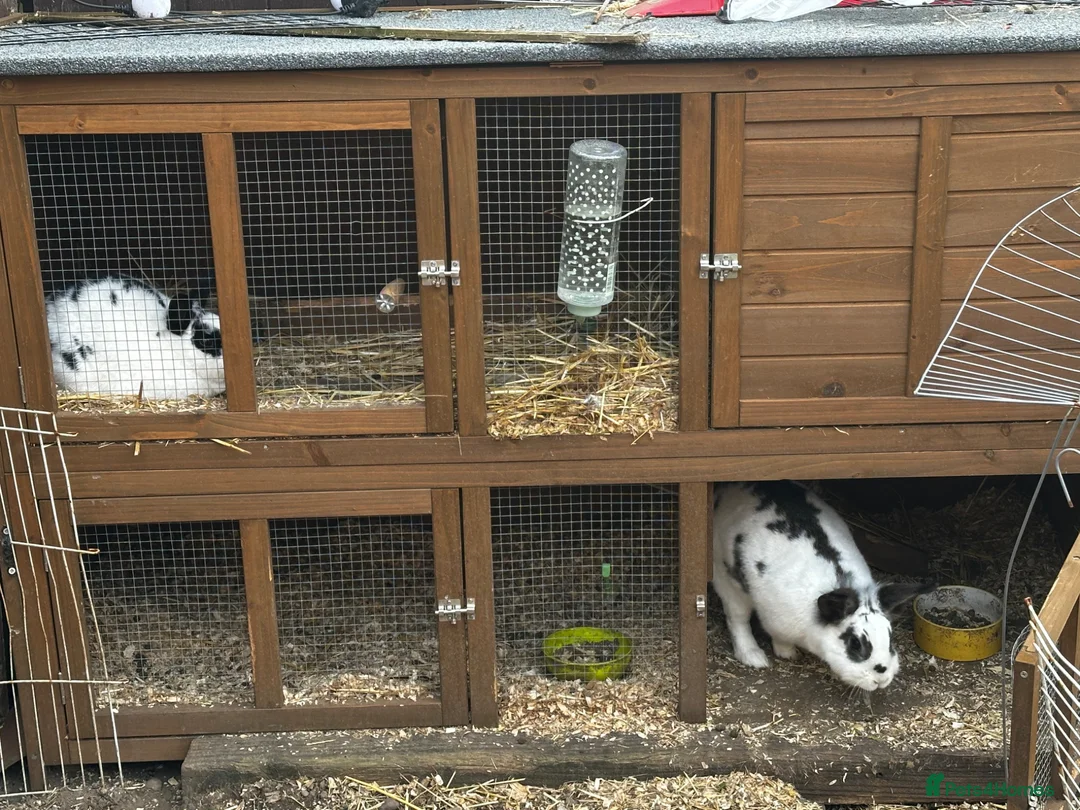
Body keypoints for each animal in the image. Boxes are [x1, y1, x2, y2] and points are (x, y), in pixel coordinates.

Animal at [712, 480, 934, 692]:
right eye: (855, 643)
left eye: (890, 637)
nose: (881, 680)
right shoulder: (775, 621)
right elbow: (778, 639)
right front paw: (788, 653)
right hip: (726, 579)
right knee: (737, 619)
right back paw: (754, 657)